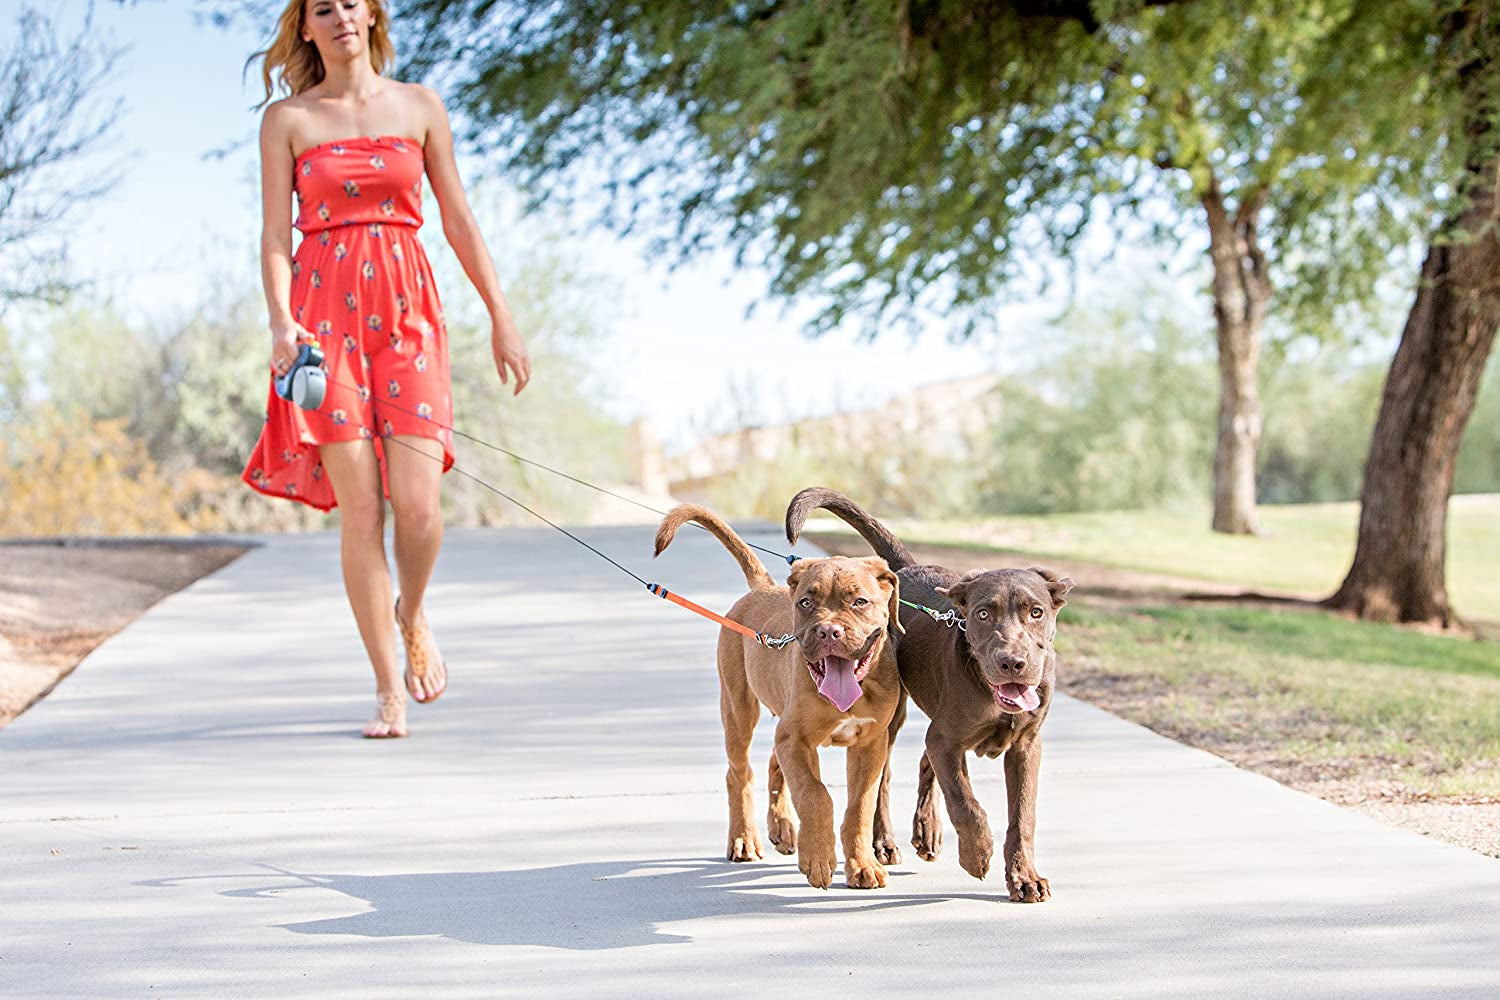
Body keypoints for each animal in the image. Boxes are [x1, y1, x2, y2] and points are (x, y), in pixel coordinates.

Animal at [654, 509, 900, 893]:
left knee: (772, 761)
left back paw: (781, 827)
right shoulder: (796, 739)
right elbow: (815, 794)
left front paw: (862, 864)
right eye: (806, 603)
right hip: (738, 709)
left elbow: (859, 806)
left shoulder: (869, 744)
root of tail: (762, 587)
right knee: (739, 773)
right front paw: (818, 858)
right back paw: (744, 839)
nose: (828, 631)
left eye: (860, 602)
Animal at [780, 488, 1074, 905]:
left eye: (1036, 612)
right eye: (982, 614)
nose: (1012, 663)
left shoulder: (1026, 746)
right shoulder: (946, 739)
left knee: (924, 760)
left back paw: (927, 830)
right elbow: (965, 803)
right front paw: (976, 854)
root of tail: (907, 569)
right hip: (896, 717)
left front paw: (1024, 877)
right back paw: (886, 842)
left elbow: (1022, 817)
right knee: (885, 778)